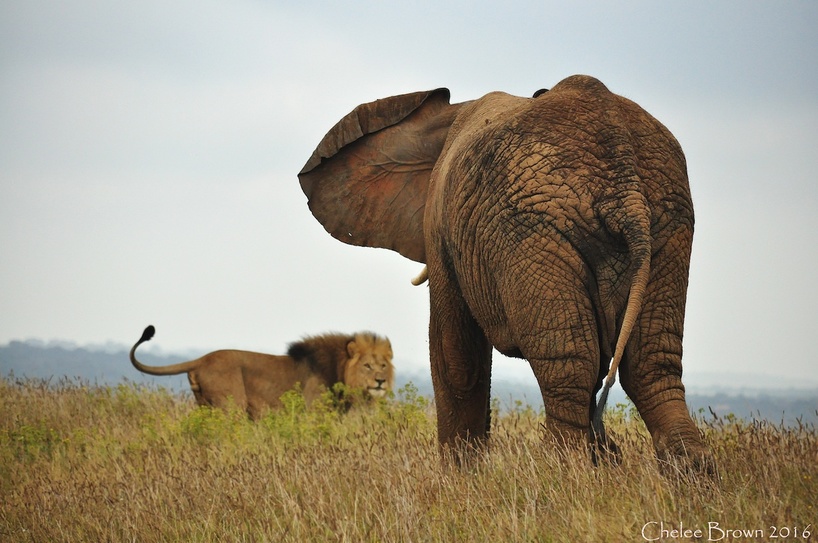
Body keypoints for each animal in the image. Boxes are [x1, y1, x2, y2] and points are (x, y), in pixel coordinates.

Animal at [298, 74, 711, 470]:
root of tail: (625, 189)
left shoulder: (441, 225)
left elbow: (456, 354)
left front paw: (462, 478)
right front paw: (608, 459)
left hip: (534, 232)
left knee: (570, 364)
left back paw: (564, 472)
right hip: (668, 222)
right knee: (651, 362)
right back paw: (687, 473)